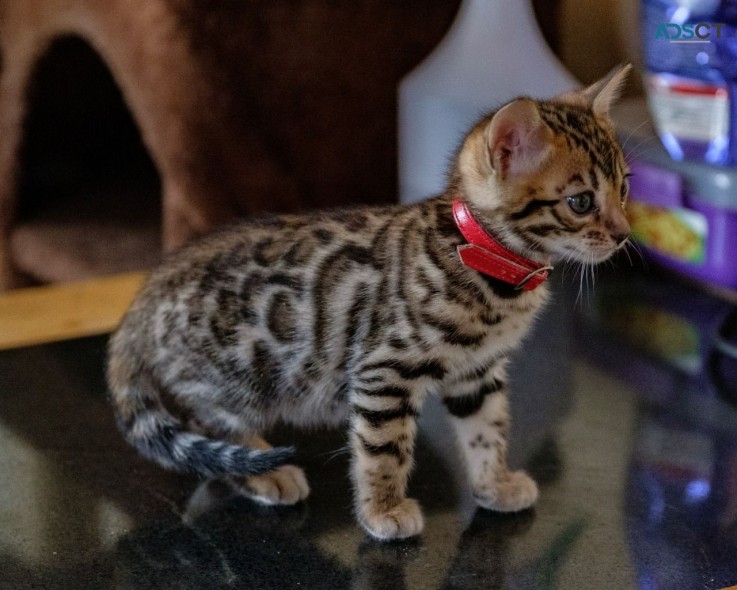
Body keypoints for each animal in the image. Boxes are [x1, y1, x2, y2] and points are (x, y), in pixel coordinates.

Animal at [108, 65, 632, 540]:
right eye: (581, 202)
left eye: (625, 187)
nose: (625, 234)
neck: (483, 259)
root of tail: (146, 293)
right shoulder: (384, 372)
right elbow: (385, 448)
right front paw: (384, 510)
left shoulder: (477, 373)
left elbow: (488, 430)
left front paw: (493, 484)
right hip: (237, 377)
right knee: (208, 421)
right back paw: (265, 471)